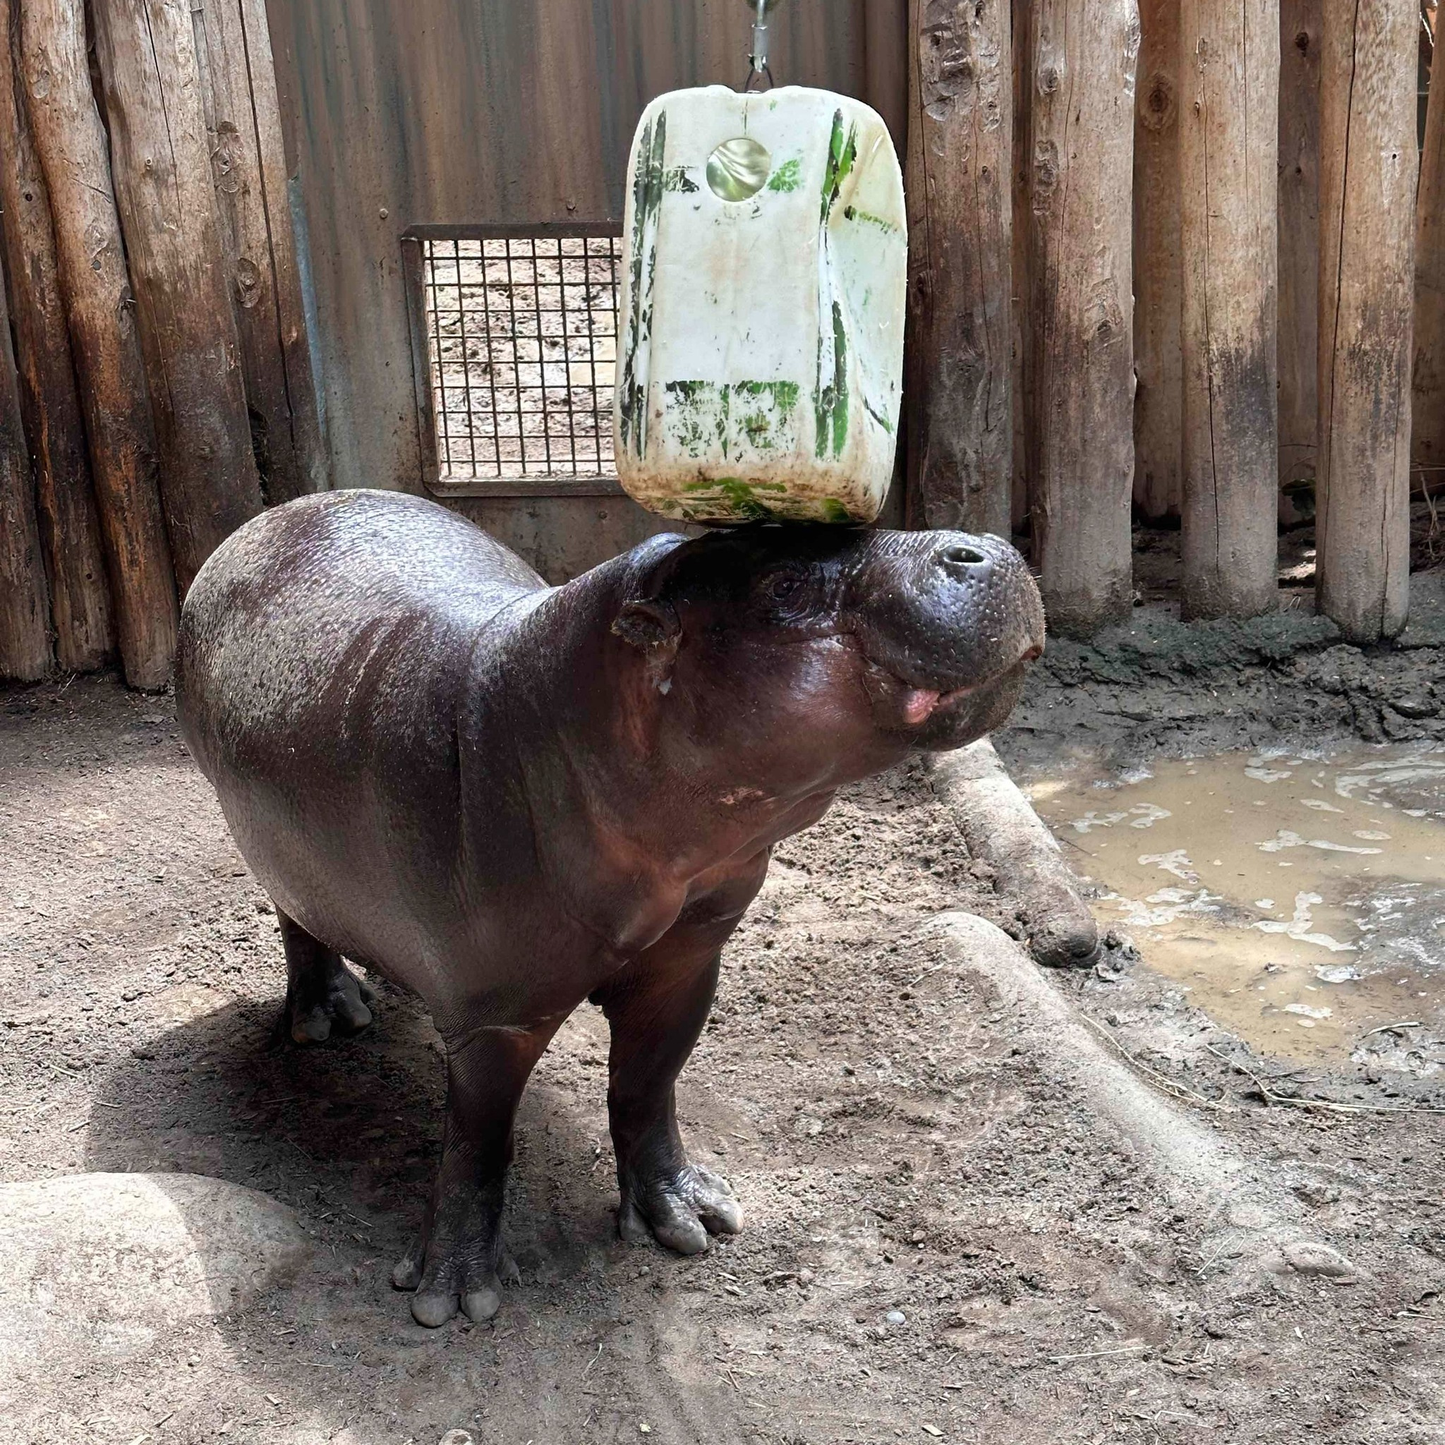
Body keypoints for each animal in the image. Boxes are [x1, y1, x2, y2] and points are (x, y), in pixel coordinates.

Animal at [175, 490, 1044, 1326]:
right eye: (783, 585)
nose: (982, 546)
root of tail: (271, 515)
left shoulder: (688, 959)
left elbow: (646, 1086)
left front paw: (692, 1218)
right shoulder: (494, 1012)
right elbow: (478, 1139)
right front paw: (453, 1298)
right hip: (262, 835)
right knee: (295, 915)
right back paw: (330, 1018)